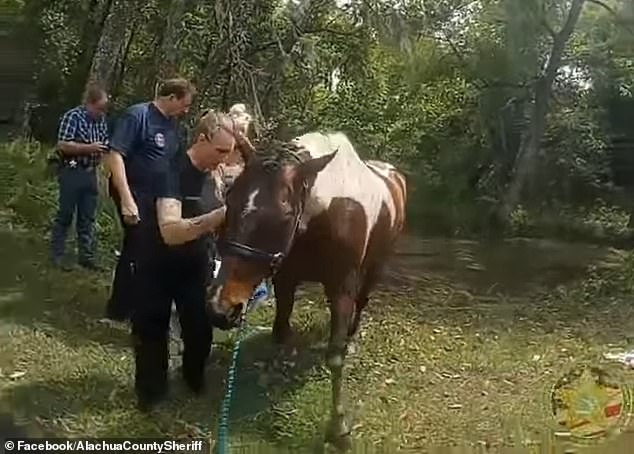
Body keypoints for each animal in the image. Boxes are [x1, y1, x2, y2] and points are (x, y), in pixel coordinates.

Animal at [207, 131, 404, 450]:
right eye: (230, 199)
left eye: (284, 215)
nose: (220, 308)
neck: (324, 214)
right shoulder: (285, 280)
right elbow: (279, 334)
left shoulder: (341, 289)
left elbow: (335, 358)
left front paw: (339, 429)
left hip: (376, 266)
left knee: (362, 302)